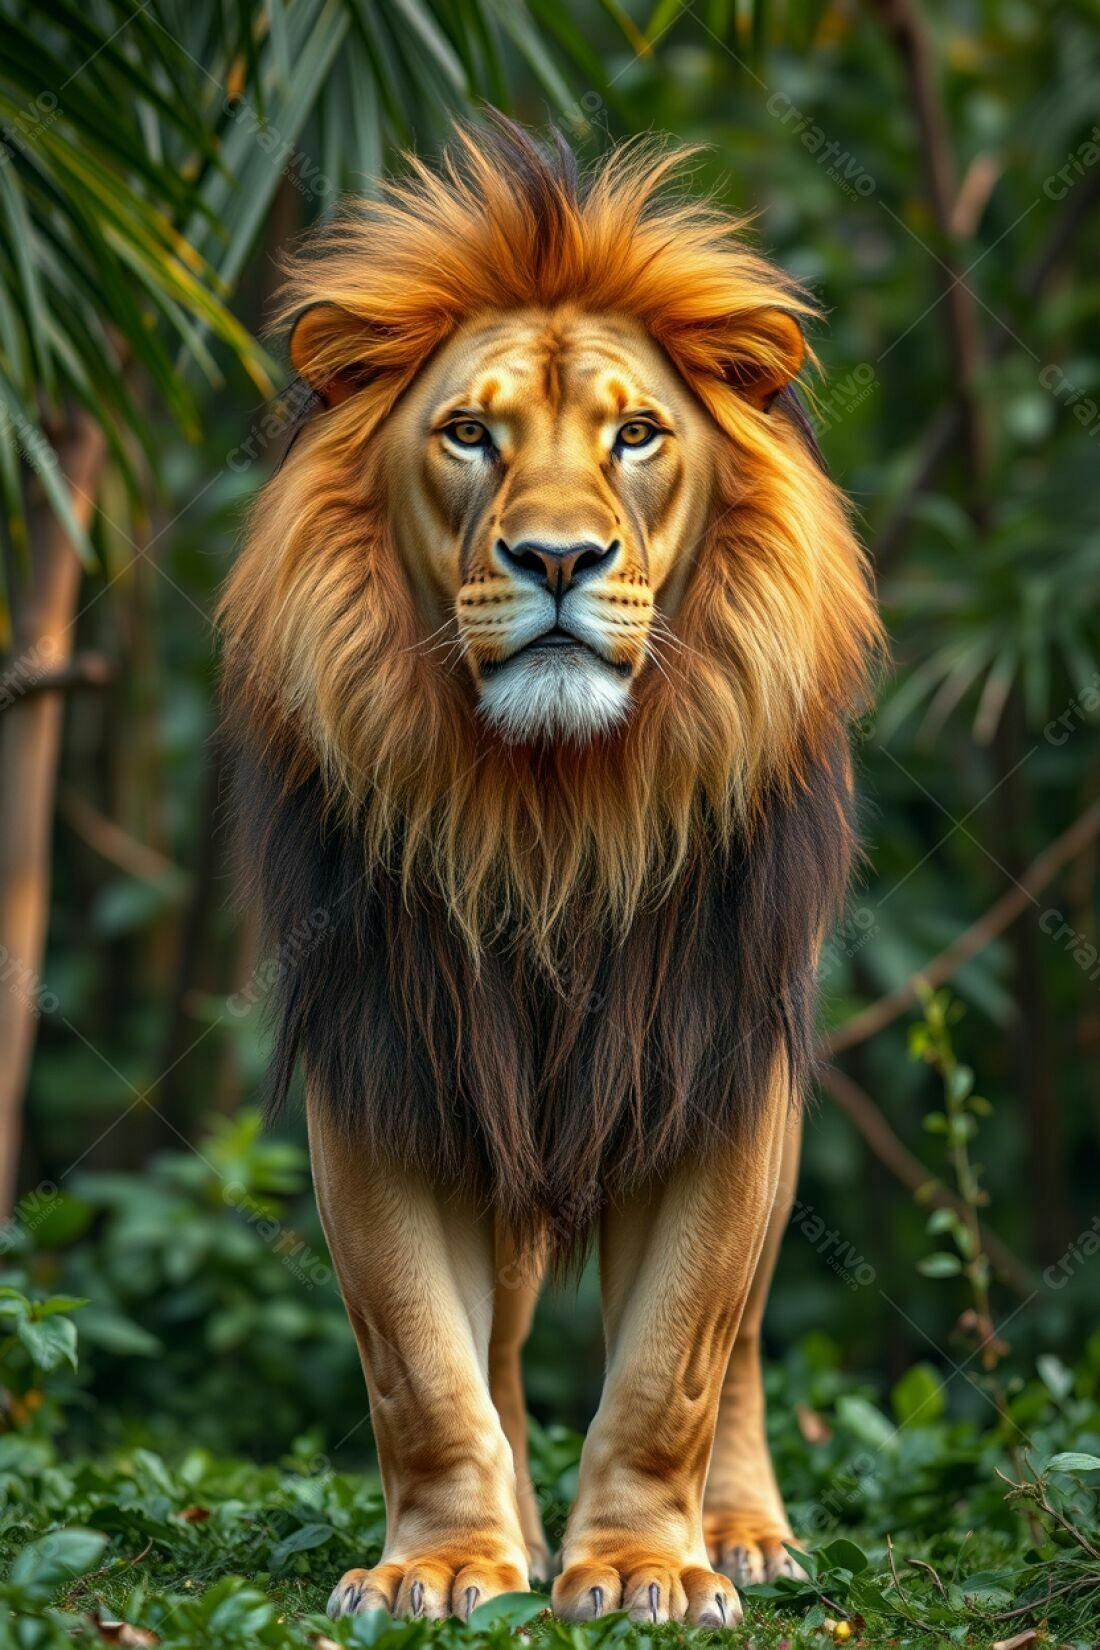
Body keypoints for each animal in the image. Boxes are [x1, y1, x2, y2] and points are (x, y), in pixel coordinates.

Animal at [219, 118, 880, 1629]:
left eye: (637, 435)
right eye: (470, 433)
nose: (560, 558)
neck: (549, 815)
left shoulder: (716, 1062)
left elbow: (676, 1361)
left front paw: (643, 1566)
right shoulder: (390, 1060)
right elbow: (421, 1364)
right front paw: (446, 1560)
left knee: (739, 1344)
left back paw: (741, 1535)